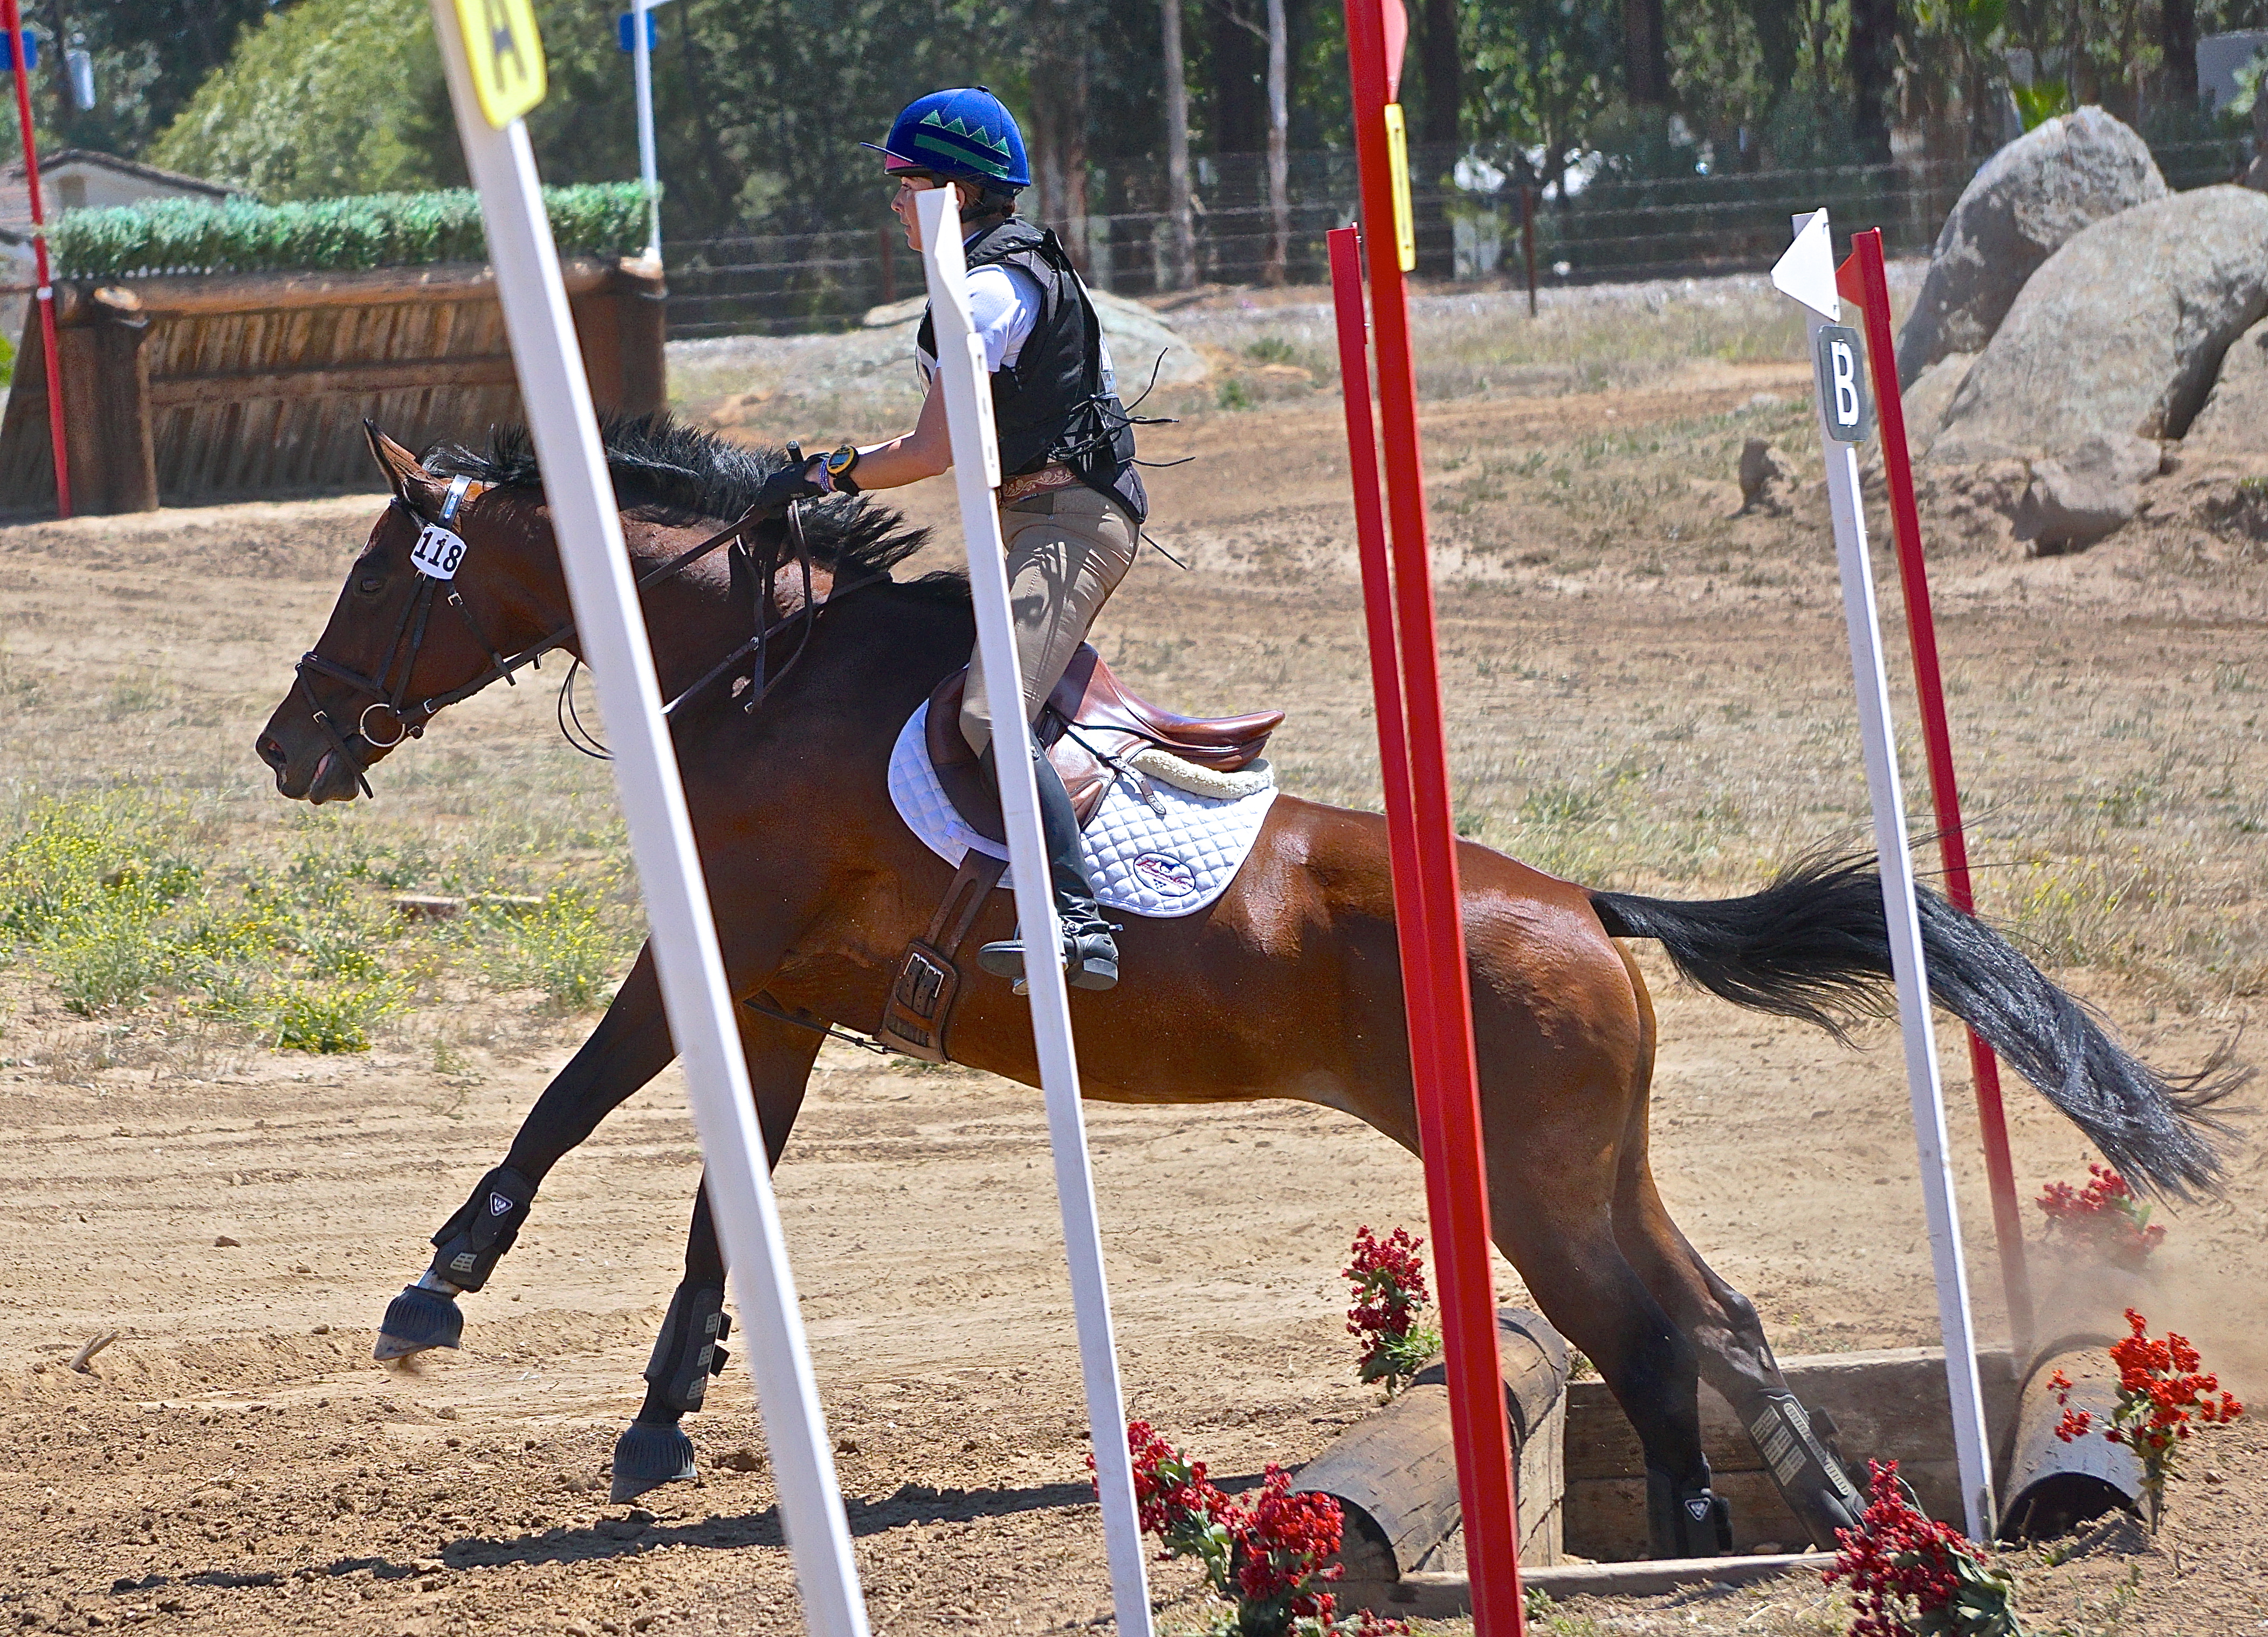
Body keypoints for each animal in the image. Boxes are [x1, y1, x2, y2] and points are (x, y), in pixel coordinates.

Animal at [257, 415, 2222, 1551]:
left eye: (378, 568)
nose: (290, 747)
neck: (762, 669)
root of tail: (1577, 902)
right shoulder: (781, 996)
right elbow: (706, 1211)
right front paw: (661, 1414)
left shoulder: (717, 963)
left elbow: (564, 1103)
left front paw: (432, 1293)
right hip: (1580, 1160)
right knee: (1699, 1317)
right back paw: (1751, 1522)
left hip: (1519, 1171)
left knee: (1649, 1323)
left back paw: (1730, 1528)